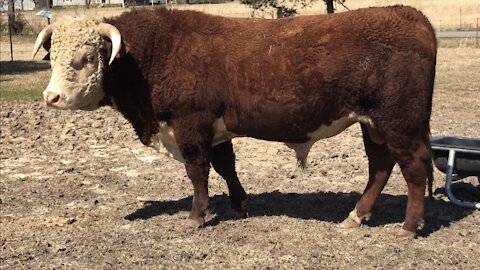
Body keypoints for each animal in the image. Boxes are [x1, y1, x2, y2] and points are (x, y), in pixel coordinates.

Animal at [32, 6, 438, 237]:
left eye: (87, 57)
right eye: (53, 56)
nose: (51, 98)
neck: (148, 55)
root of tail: (410, 15)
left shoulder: (189, 124)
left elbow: (198, 171)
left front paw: (197, 215)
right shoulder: (215, 128)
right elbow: (226, 166)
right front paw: (239, 205)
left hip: (398, 122)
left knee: (415, 167)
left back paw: (409, 226)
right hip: (374, 125)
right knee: (380, 167)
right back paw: (357, 216)